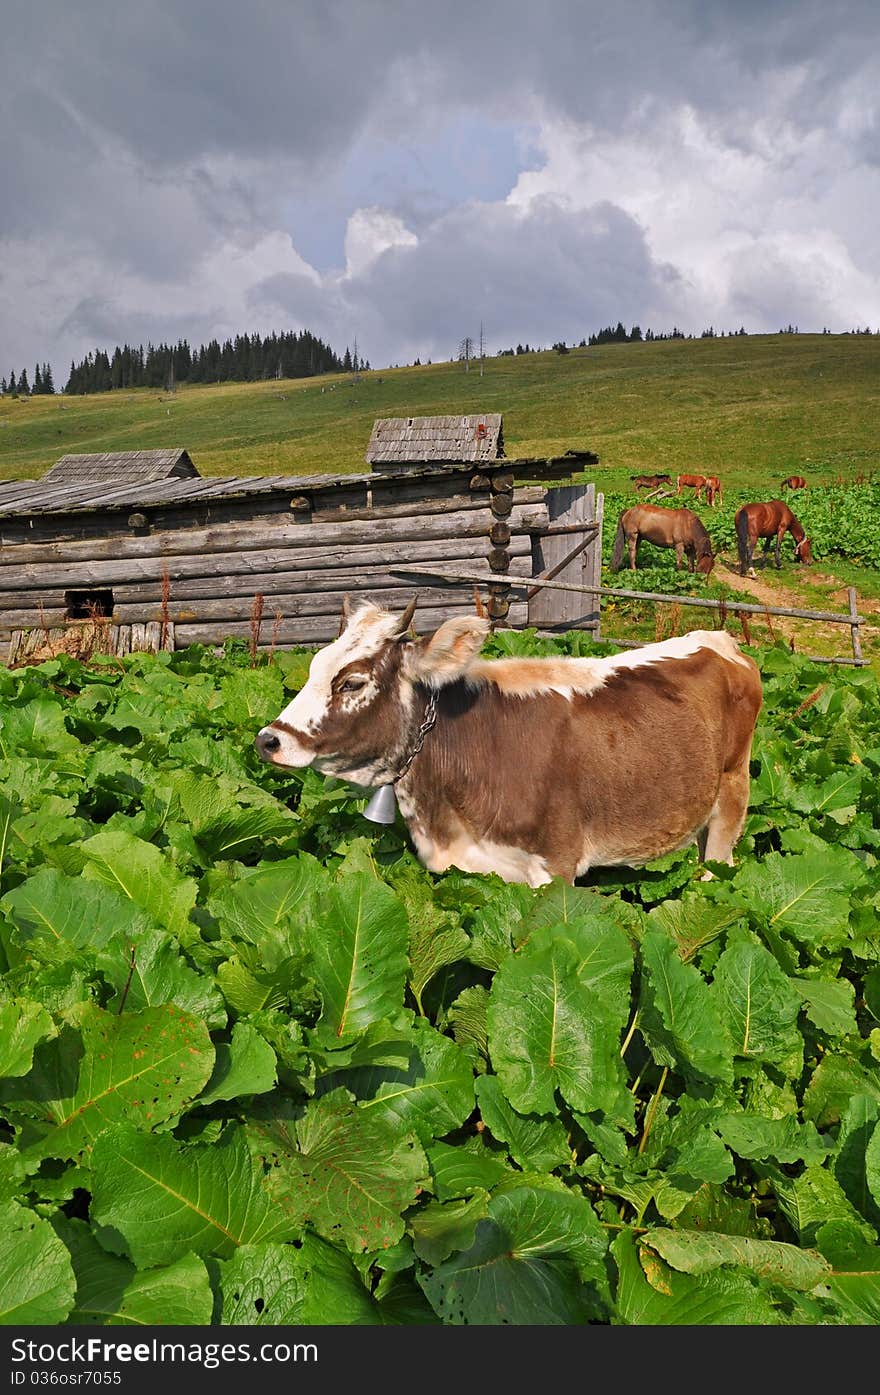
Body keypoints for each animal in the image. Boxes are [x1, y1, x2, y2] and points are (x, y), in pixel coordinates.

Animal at [255, 602, 764, 887]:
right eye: (314, 665)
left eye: (352, 682)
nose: (269, 740)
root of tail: (718, 639)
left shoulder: (556, 868)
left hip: (732, 795)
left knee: (718, 869)